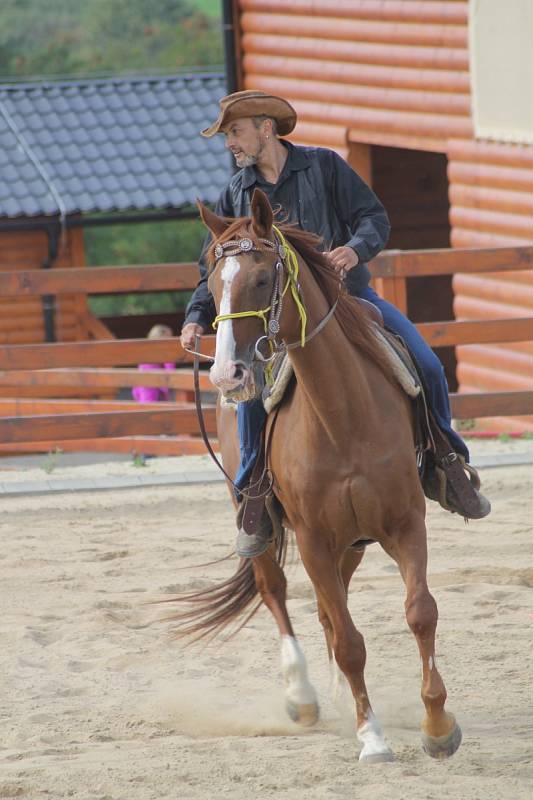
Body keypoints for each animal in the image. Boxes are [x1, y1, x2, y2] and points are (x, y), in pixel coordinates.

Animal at [172, 189, 460, 764]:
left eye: (263, 278)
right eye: (211, 284)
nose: (227, 374)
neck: (342, 413)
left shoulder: (404, 523)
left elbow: (419, 612)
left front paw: (438, 726)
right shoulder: (310, 539)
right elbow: (349, 641)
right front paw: (371, 736)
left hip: (353, 541)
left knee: (334, 608)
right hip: (262, 521)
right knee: (276, 590)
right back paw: (303, 696)